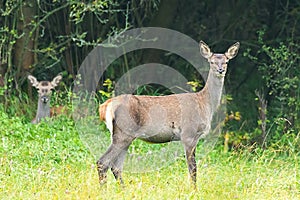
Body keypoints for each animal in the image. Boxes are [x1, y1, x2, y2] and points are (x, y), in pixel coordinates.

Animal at [97, 40, 240, 186]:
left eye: (226, 61)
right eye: (211, 61)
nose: (220, 70)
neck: (205, 104)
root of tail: (105, 106)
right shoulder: (188, 134)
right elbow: (193, 169)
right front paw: (194, 189)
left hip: (123, 135)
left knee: (116, 166)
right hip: (124, 133)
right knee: (103, 162)